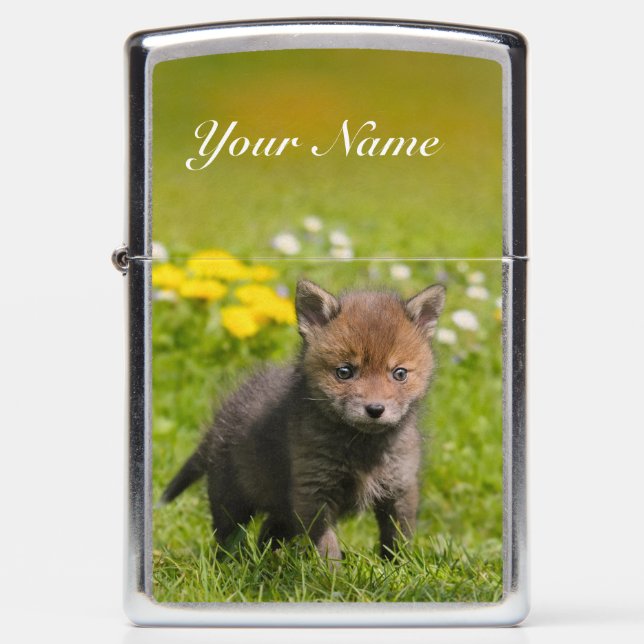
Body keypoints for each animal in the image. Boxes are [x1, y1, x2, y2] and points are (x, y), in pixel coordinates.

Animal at [160, 279, 446, 561]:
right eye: (344, 372)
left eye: (400, 373)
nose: (375, 409)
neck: (362, 448)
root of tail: (218, 421)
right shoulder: (313, 491)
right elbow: (327, 546)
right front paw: (333, 574)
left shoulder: (400, 487)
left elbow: (397, 539)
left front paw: (397, 567)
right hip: (232, 500)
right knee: (227, 538)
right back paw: (232, 564)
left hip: (283, 509)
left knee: (267, 532)